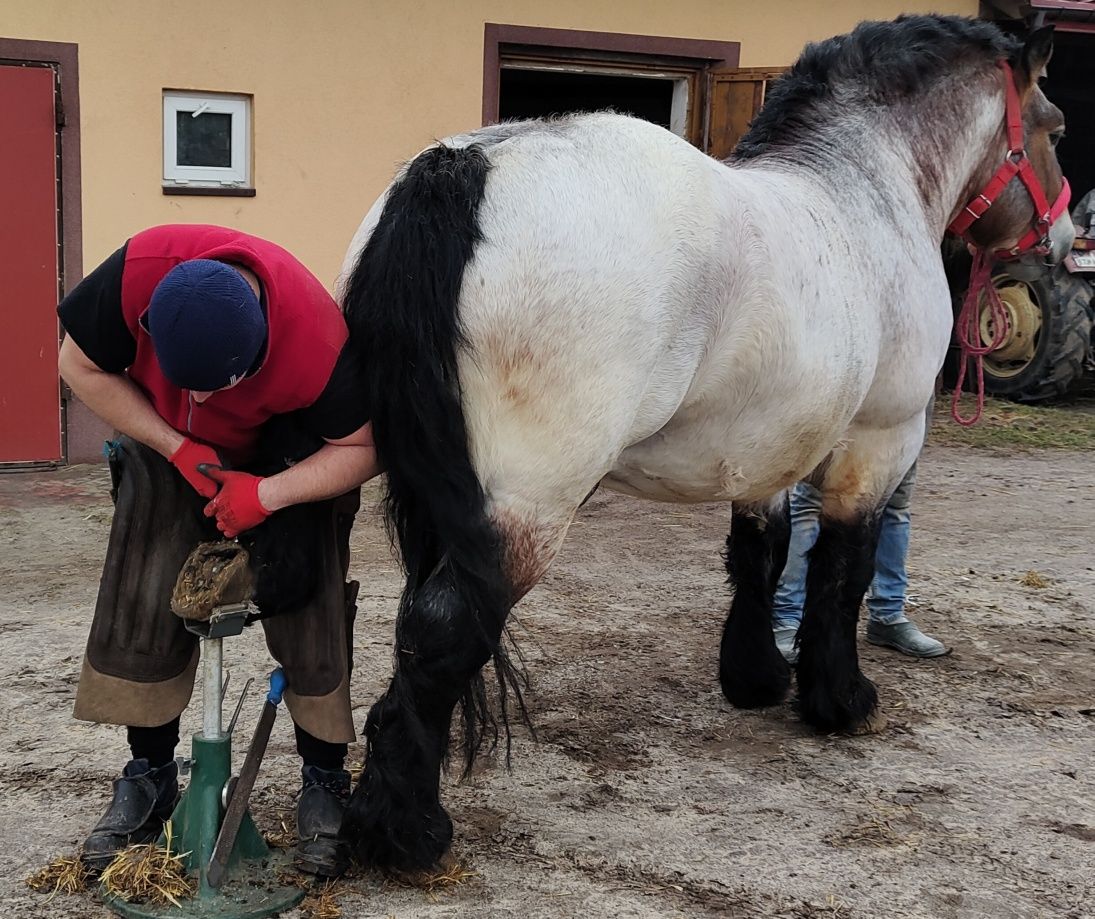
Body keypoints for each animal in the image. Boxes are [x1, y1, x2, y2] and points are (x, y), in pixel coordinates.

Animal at [335, 16, 1068, 871]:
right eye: (1055, 126)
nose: (1061, 236)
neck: (862, 190)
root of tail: (459, 167)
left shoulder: (768, 447)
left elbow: (762, 553)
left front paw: (755, 677)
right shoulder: (880, 439)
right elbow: (842, 567)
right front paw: (842, 700)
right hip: (527, 508)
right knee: (443, 628)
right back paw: (406, 831)